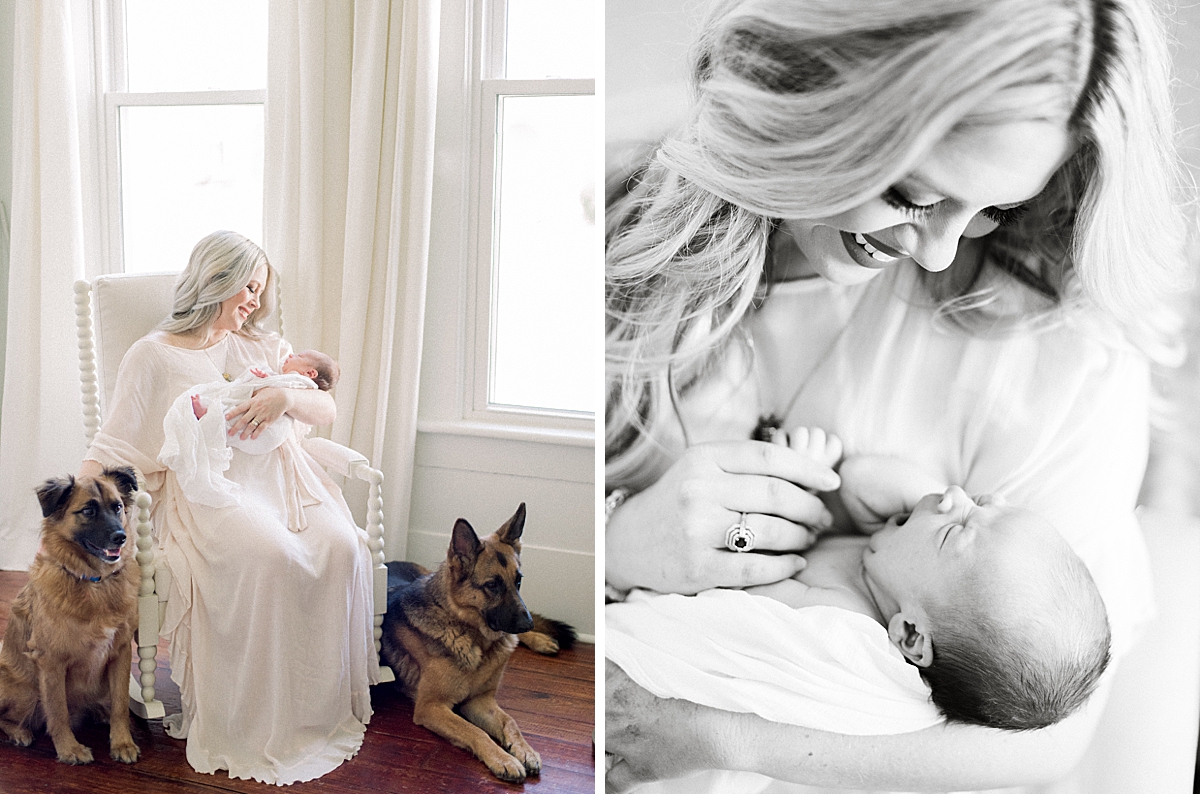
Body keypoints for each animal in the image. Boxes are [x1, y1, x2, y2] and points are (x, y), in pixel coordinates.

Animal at [0, 467, 140, 767]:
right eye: (88, 511)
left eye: (117, 507)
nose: (121, 537)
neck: (94, 582)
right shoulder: (51, 661)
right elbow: (58, 710)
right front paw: (69, 749)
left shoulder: (121, 653)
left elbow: (121, 704)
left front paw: (122, 742)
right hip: (26, 690)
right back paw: (19, 732)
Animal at [381, 503, 573, 782]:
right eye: (492, 585)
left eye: (518, 581)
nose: (528, 623)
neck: (475, 638)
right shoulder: (431, 707)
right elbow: (475, 731)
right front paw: (504, 759)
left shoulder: (481, 701)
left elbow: (511, 722)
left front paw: (524, 750)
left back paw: (541, 640)